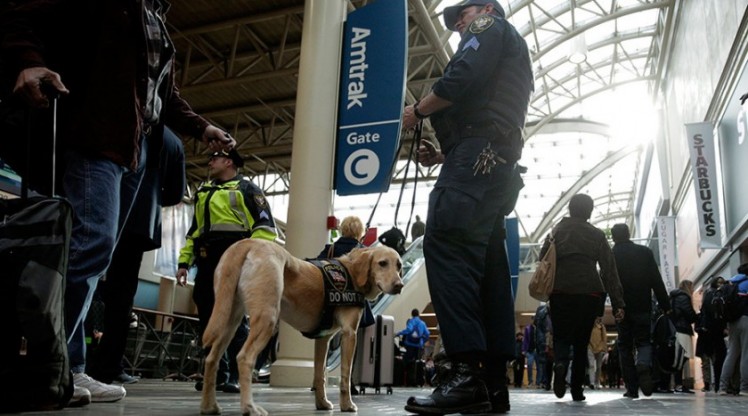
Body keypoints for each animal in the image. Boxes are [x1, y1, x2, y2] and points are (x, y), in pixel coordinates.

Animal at [196, 239, 400, 416]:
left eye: (398, 265)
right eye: (382, 263)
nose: (399, 285)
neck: (351, 272)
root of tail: (248, 242)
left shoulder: (323, 338)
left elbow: (320, 375)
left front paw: (321, 403)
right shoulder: (350, 334)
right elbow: (345, 375)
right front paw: (347, 405)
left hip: (229, 321)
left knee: (212, 359)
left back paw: (209, 406)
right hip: (266, 319)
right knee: (244, 358)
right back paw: (249, 407)